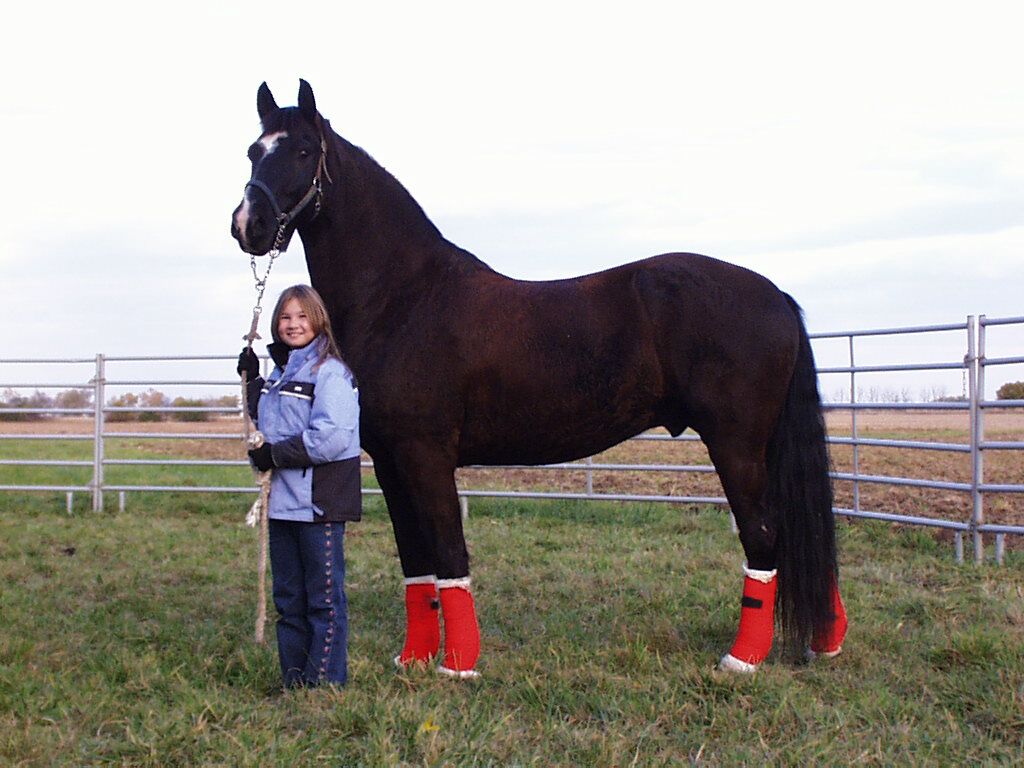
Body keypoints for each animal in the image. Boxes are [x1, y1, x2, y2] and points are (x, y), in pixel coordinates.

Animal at [232, 81, 847, 675]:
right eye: (254, 151)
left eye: (303, 150)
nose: (247, 225)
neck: (404, 296)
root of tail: (774, 295)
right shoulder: (389, 461)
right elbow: (417, 564)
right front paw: (413, 659)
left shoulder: (425, 455)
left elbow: (450, 555)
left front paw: (458, 667)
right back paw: (822, 642)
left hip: (736, 444)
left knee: (764, 536)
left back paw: (742, 660)